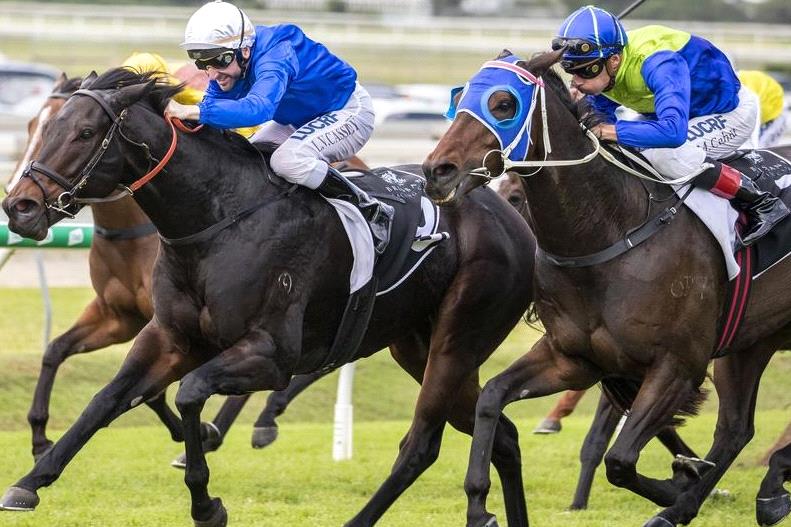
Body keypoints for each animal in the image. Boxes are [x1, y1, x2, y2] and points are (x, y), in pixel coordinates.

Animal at [1, 68, 540, 524]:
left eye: (84, 133)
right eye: (39, 127)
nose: (19, 206)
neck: (217, 221)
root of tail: (510, 216)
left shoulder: (271, 353)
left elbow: (189, 392)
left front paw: (206, 501)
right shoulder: (165, 335)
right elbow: (104, 399)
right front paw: (30, 480)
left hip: (457, 338)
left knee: (421, 446)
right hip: (416, 346)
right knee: (505, 436)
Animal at [426, 49, 791, 527]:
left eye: (504, 104)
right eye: (458, 98)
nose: (437, 171)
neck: (610, 233)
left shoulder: (677, 364)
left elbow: (620, 460)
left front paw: (677, 480)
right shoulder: (573, 359)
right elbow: (491, 396)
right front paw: (478, 505)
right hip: (751, 342)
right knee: (735, 429)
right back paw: (739, 497)